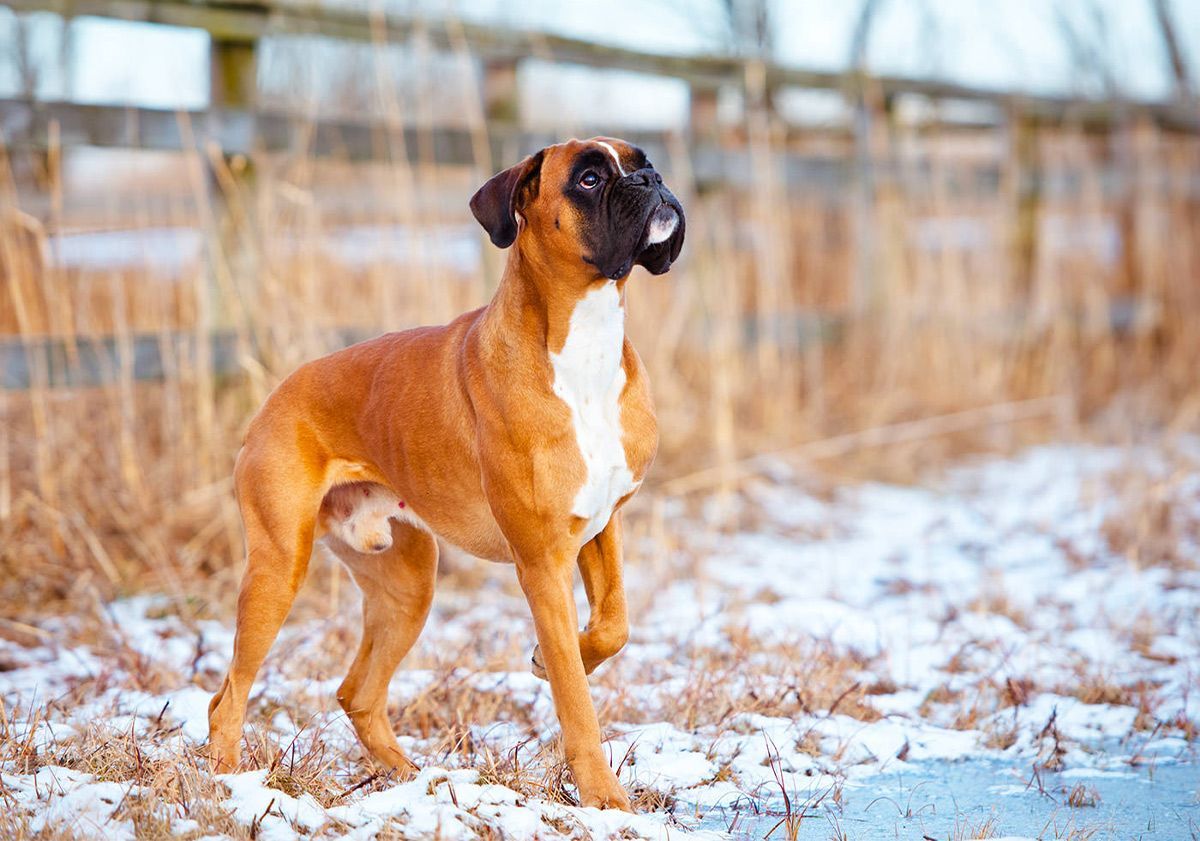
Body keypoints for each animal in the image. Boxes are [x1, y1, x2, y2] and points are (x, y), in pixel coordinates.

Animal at [206, 136, 686, 806]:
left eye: (641, 161)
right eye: (589, 179)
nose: (653, 179)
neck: (583, 341)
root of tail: (275, 397)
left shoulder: (599, 528)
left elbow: (613, 626)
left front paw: (548, 659)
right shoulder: (542, 565)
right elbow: (575, 698)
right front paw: (602, 795)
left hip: (407, 585)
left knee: (356, 692)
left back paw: (407, 777)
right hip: (277, 569)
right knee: (228, 695)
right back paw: (227, 782)